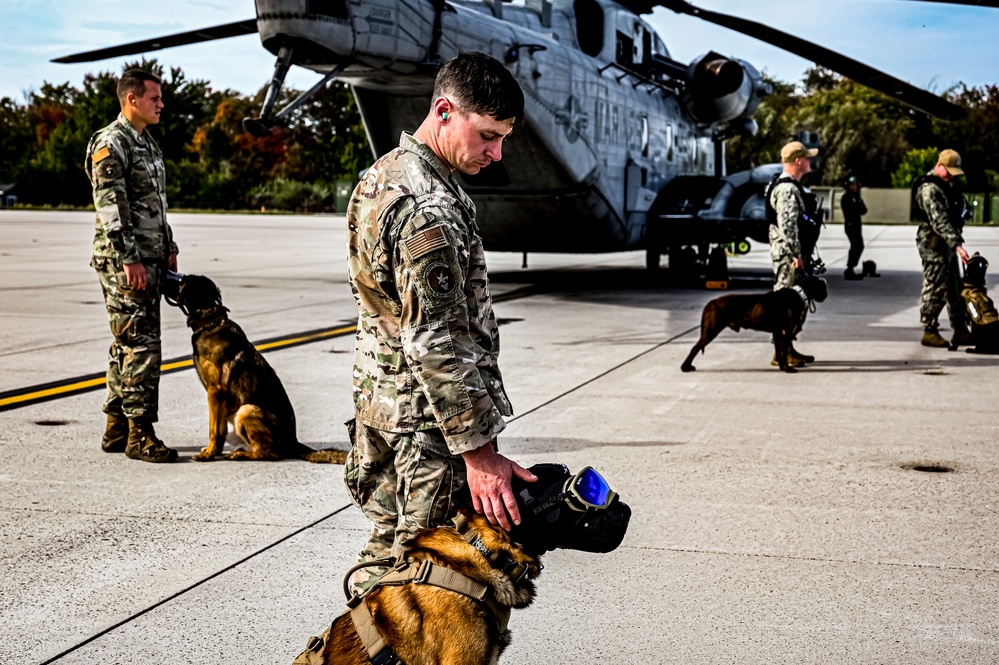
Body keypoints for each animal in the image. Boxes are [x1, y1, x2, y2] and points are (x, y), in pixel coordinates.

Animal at [170, 272, 346, 462]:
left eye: (183, 281)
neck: (210, 322)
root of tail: (293, 442)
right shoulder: (219, 399)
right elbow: (220, 430)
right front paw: (214, 452)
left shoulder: (215, 392)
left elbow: (214, 430)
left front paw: (209, 454)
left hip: (246, 410)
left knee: (270, 453)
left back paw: (240, 454)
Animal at [680, 274, 828, 374]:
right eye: (823, 286)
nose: (826, 294)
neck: (799, 294)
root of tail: (711, 303)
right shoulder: (786, 331)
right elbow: (784, 352)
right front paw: (788, 369)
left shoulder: (778, 332)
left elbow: (779, 352)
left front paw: (781, 367)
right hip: (712, 329)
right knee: (695, 348)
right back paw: (685, 367)